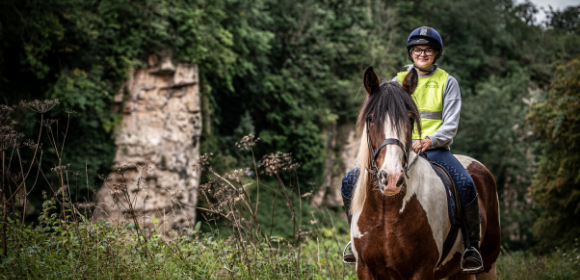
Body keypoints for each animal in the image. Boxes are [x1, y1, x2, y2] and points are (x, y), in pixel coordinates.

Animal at [348, 66, 502, 278]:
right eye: (371, 119)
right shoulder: (365, 269)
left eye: (410, 119)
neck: (386, 212)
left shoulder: (422, 270)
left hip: (487, 266)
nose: (392, 178)